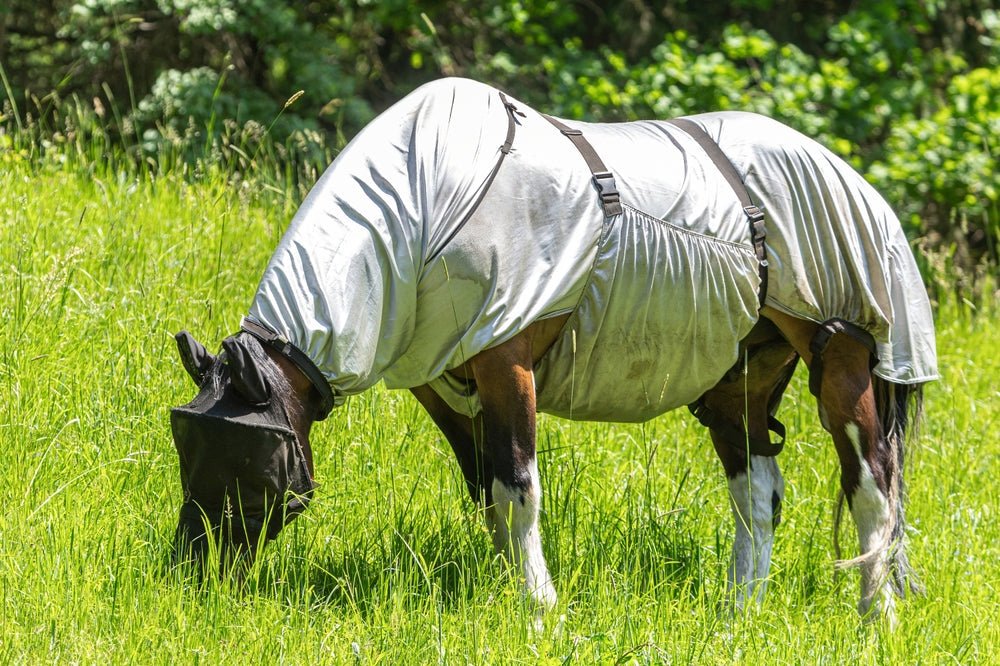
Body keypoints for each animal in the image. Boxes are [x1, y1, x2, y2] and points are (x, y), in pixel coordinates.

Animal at [169, 77, 937, 625]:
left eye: (260, 465)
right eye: (188, 452)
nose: (189, 580)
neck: (430, 202)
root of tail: (854, 181)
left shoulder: (506, 364)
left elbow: (517, 492)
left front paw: (539, 614)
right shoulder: (445, 387)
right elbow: (489, 495)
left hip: (842, 361)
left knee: (873, 491)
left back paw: (876, 622)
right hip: (738, 385)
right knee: (759, 494)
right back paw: (737, 618)